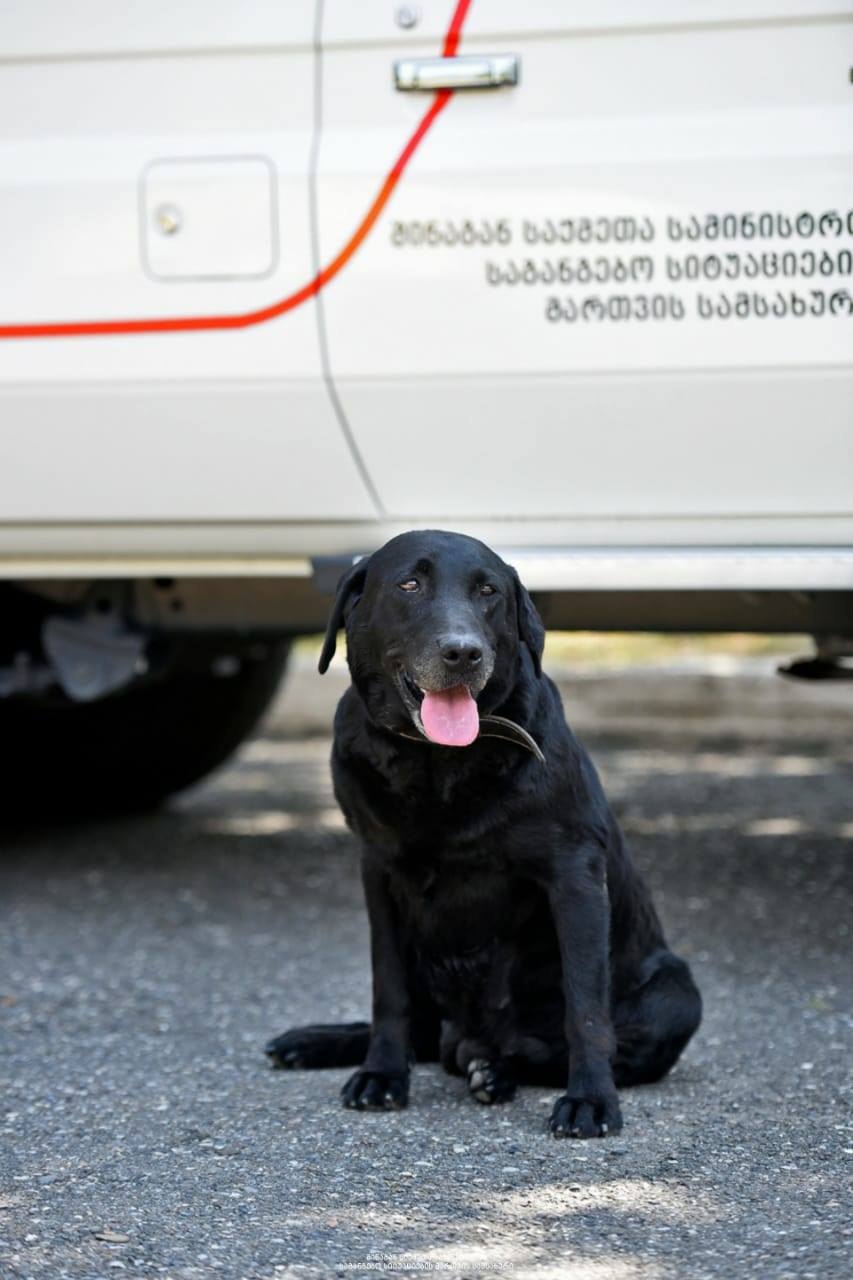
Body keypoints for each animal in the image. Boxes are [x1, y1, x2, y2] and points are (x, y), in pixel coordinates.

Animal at [266, 529, 696, 1141]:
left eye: (488, 591)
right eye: (409, 584)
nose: (463, 652)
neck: (438, 764)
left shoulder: (574, 874)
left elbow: (586, 1009)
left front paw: (590, 1100)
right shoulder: (377, 872)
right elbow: (387, 991)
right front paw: (381, 1075)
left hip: (676, 995)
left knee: (512, 1046)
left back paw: (490, 1067)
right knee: (425, 1029)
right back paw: (315, 1043)